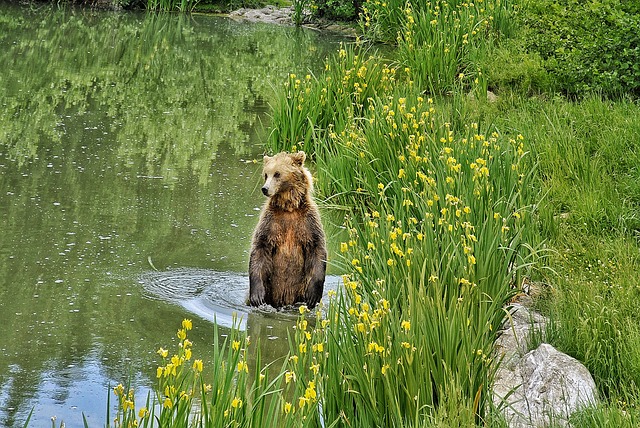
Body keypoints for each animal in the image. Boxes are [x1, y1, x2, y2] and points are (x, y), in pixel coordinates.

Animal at [250, 150, 328, 308]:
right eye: (266, 174)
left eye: (277, 174)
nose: (265, 188)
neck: (289, 208)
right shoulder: (270, 222)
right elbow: (259, 248)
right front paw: (257, 297)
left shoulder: (308, 222)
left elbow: (318, 249)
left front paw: (313, 296)